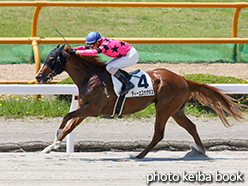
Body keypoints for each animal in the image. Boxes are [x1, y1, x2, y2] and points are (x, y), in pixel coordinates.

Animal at [35, 44, 244, 158]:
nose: (38, 76)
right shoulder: (85, 108)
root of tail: (183, 79)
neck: (91, 77)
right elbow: (70, 125)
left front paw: (56, 138)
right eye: (46, 57)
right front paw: (50, 147)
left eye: (52, 59)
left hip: (164, 109)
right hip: (176, 111)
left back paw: (140, 155)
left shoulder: (93, 109)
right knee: (191, 127)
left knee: (159, 134)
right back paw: (201, 151)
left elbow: (66, 117)